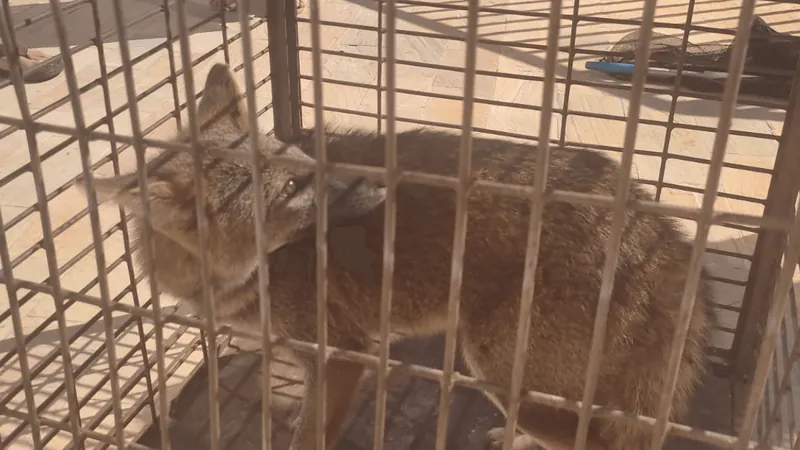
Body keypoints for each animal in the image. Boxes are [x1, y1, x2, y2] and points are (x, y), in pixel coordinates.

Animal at [73, 64, 712, 450]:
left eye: (302, 163)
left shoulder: (341, 353)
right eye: (291, 186)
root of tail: (663, 231)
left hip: (494, 368)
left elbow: (311, 435)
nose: (378, 188)